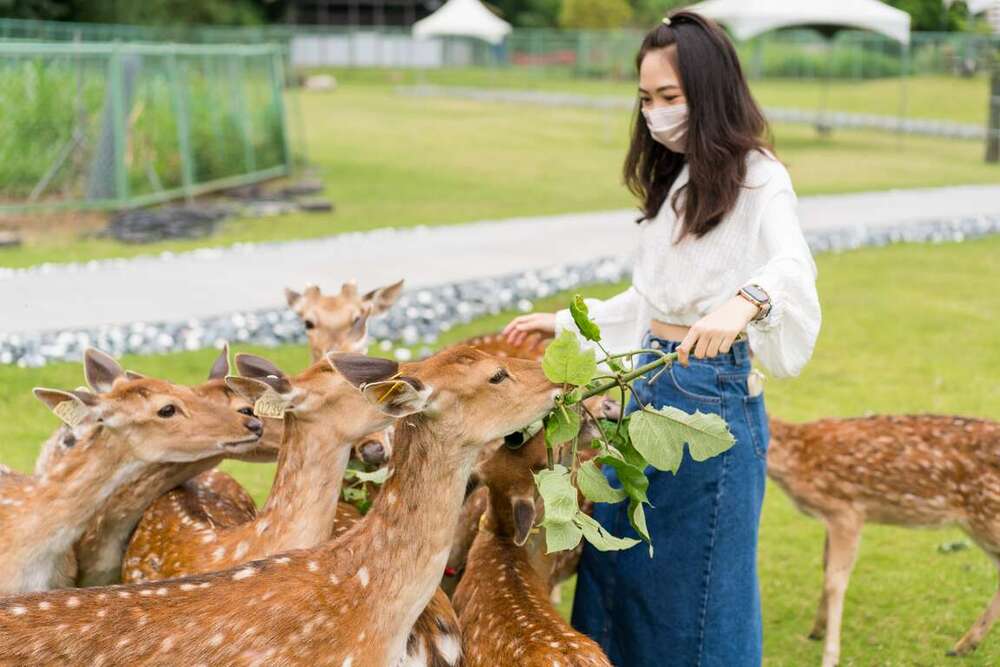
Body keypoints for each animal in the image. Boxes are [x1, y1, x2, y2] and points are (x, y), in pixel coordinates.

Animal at [768, 414, 1000, 664]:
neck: (794, 456)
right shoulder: (832, 518)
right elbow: (825, 566)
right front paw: (816, 630)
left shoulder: (846, 511)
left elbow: (835, 582)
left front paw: (830, 657)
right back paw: (963, 645)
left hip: (988, 515)